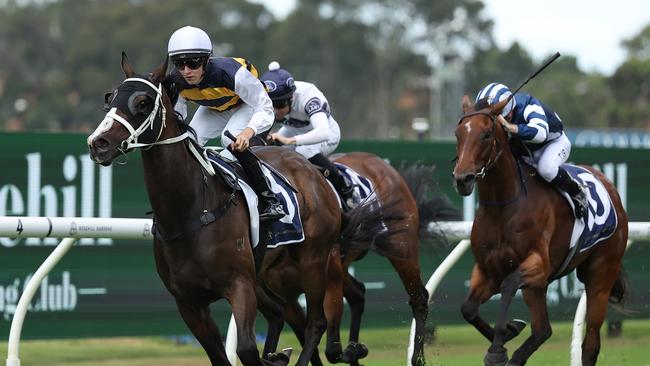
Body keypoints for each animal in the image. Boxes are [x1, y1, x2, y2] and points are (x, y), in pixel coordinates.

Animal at [88, 53, 384, 364]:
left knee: (316, 322)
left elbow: (245, 349)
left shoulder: (239, 285)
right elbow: (221, 355)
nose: (98, 143)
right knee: (280, 313)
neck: (189, 213)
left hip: (313, 260)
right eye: (111, 98)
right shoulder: (189, 302)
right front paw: (273, 356)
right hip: (267, 272)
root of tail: (313, 172)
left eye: (143, 102)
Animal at [254, 153, 456, 366]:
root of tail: (378, 162)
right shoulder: (289, 296)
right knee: (358, 293)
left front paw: (354, 350)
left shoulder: (328, 280)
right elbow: (309, 340)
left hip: (401, 247)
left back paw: (417, 358)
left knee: (419, 297)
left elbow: (332, 349)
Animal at [450, 96, 628, 364]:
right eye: (458, 134)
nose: (463, 179)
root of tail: (609, 187)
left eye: (487, 134)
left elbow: (509, 284)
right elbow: (467, 309)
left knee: (590, 343)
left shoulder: (538, 265)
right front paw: (510, 331)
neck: (503, 207)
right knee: (543, 329)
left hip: (601, 274)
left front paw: (497, 349)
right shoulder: (487, 269)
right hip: (542, 287)